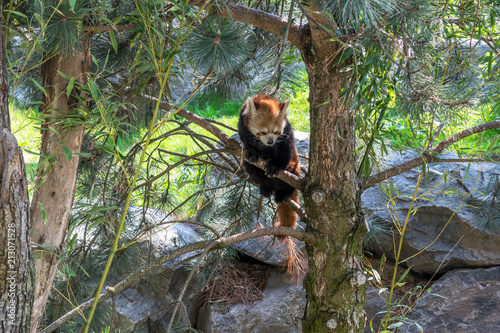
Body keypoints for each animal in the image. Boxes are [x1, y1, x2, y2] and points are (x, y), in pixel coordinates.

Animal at [238, 93, 300, 228]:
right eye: (263, 132)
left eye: (276, 132)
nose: (270, 141)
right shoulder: (243, 124)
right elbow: (245, 139)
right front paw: (252, 152)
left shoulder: (286, 130)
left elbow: (286, 148)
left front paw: (275, 166)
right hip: (253, 170)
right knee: (250, 168)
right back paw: (265, 187)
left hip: (293, 168)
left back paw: (285, 192)